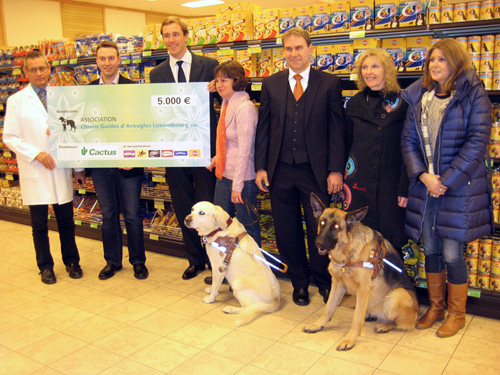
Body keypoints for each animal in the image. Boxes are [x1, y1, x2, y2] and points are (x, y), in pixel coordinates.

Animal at [304, 195, 418, 352]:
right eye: (322, 223)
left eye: (336, 227)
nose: (318, 244)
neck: (347, 254)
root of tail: (417, 313)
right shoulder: (337, 285)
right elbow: (328, 308)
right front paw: (318, 325)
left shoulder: (363, 289)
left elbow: (357, 319)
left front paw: (349, 339)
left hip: (397, 295)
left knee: (399, 323)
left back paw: (385, 325)